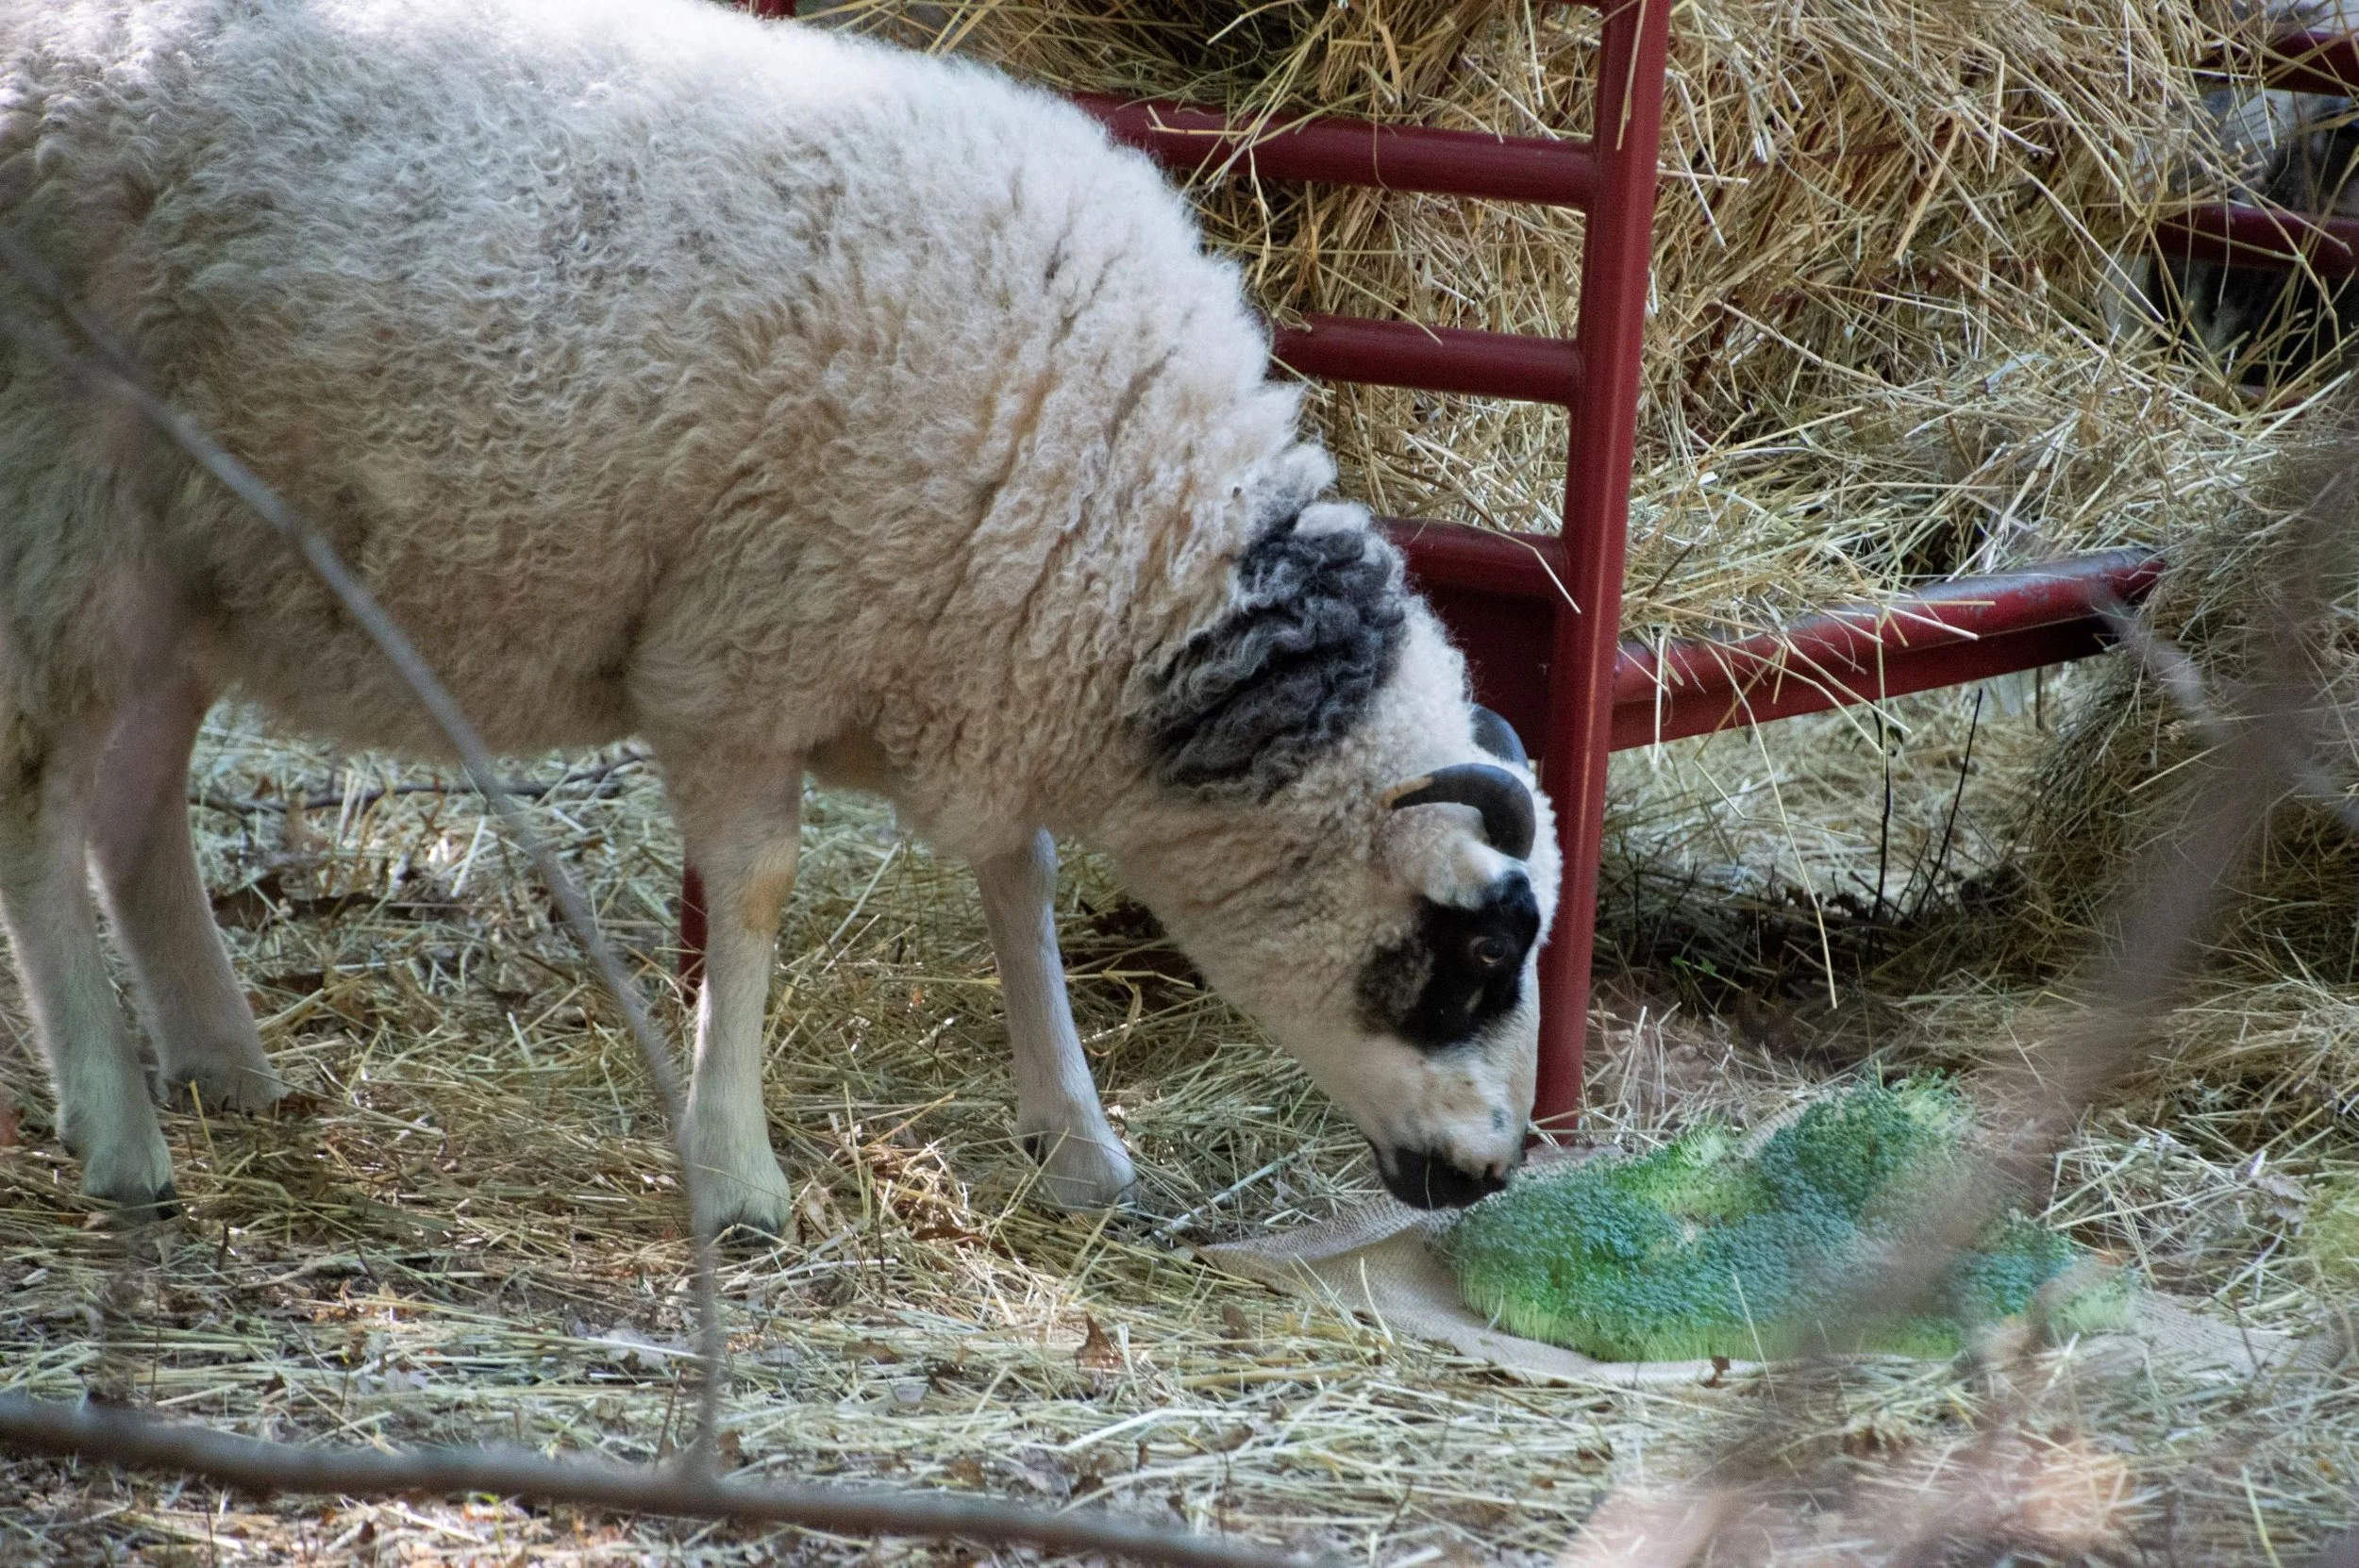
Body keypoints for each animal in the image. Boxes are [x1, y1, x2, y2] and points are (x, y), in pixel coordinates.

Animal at [0, 0, 1561, 1235]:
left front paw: (1078, 1143)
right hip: (66, 508)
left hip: (180, 569)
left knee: (131, 795)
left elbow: (1021, 876)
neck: (1128, 513)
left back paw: (221, 1064)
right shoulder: (743, 653)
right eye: (1480, 957)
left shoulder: (959, 653)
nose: (1492, 1173)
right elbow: (754, 889)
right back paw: (118, 1129)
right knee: (38, 798)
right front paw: (737, 1171)